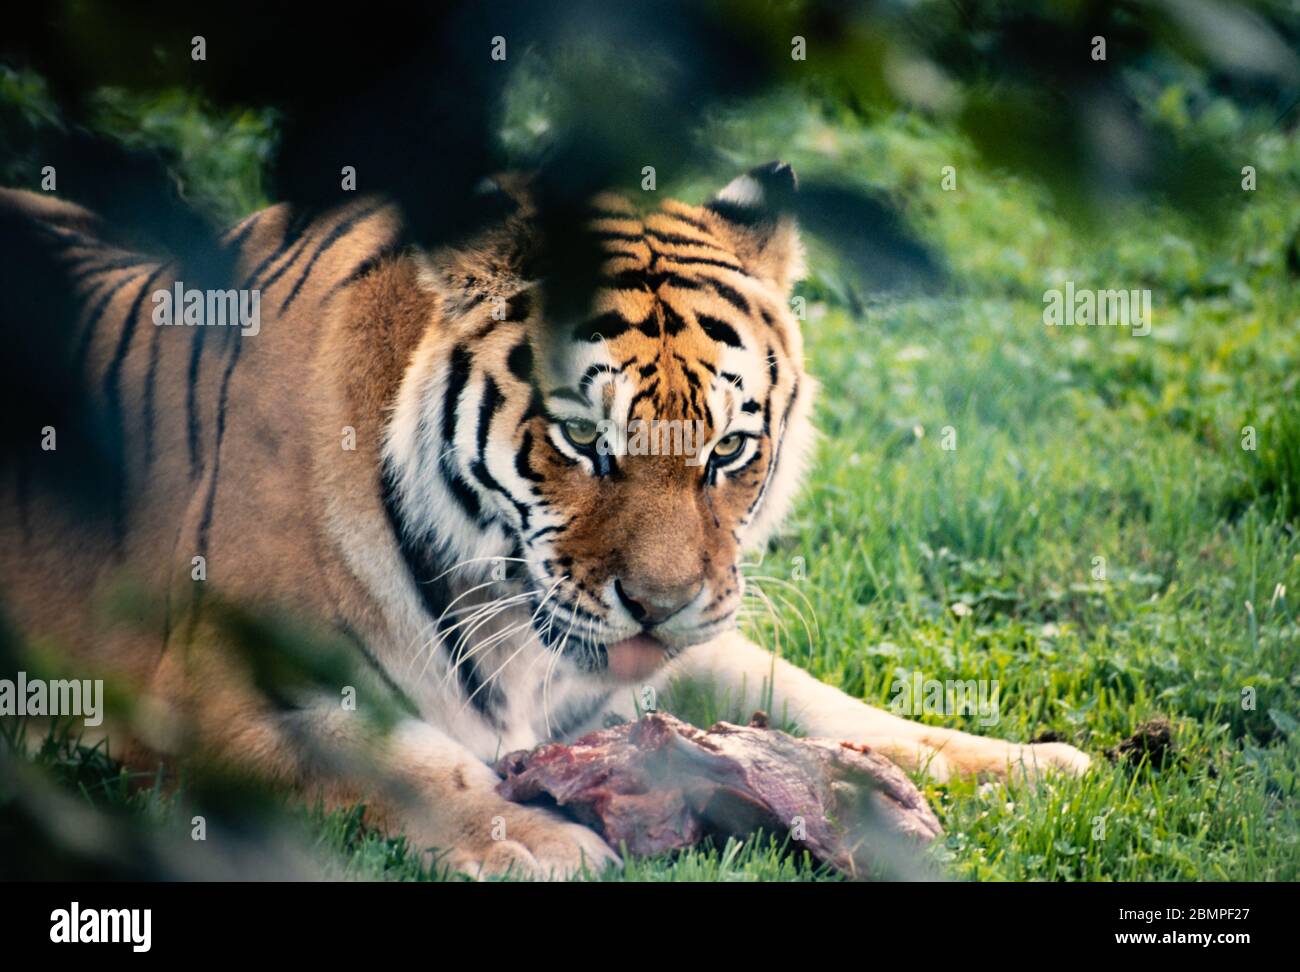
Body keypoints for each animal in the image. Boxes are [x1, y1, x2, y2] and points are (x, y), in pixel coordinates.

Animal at [0, 163, 1090, 878]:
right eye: (582, 439)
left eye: (729, 451)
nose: (659, 605)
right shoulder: (219, 687)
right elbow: (404, 765)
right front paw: (539, 838)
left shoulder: (688, 652)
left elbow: (828, 704)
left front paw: (1035, 767)